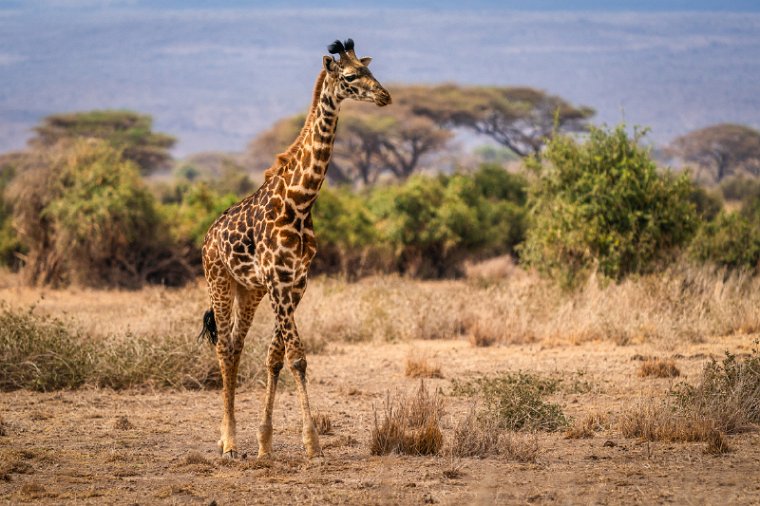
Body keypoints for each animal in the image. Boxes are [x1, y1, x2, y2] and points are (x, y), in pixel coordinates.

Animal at [199, 37, 392, 460]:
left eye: (371, 70)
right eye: (350, 76)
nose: (385, 96)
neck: (301, 200)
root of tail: (207, 236)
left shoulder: (296, 281)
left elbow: (275, 358)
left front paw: (265, 442)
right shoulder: (277, 279)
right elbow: (298, 358)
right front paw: (311, 444)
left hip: (249, 289)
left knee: (236, 345)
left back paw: (227, 438)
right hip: (219, 280)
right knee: (223, 347)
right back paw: (228, 443)